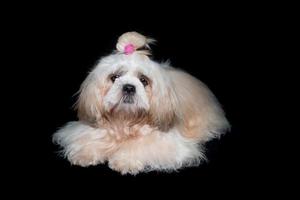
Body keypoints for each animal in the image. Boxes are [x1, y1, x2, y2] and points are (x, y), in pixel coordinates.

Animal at [52, 31, 230, 175]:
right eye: (114, 77)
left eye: (144, 80)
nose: (129, 87)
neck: (125, 121)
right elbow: (90, 138)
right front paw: (85, 153)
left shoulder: (166, 144)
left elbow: (140, 146)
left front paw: (125, 161)